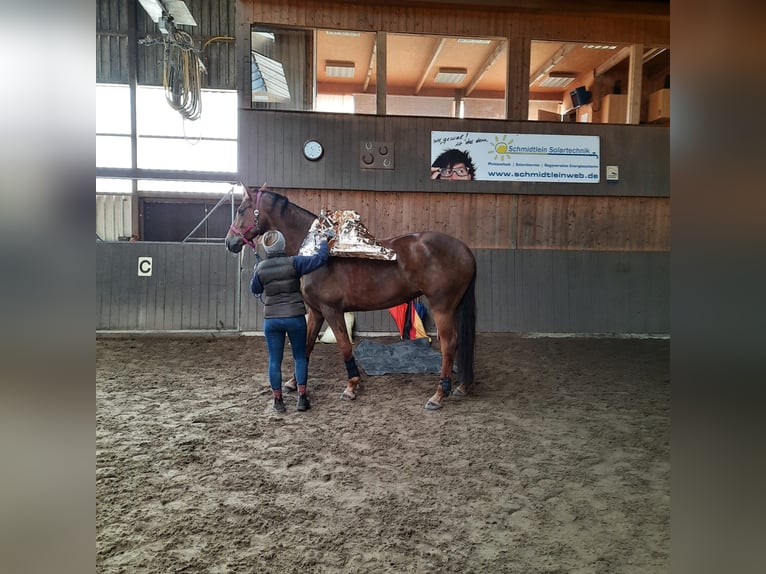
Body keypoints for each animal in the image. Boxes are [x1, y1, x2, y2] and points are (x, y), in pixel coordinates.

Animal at [222, 184, 476, 410]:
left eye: (241, 210)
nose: (229, 242)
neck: (316, 253)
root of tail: (465, 249)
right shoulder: (316, 312)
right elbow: (306, 346)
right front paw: (294, 382)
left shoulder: (331, 310)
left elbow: (344, 346)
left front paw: (351, 387)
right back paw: (461, 387)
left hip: (442, 307)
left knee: (449, 344)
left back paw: (438, 395)